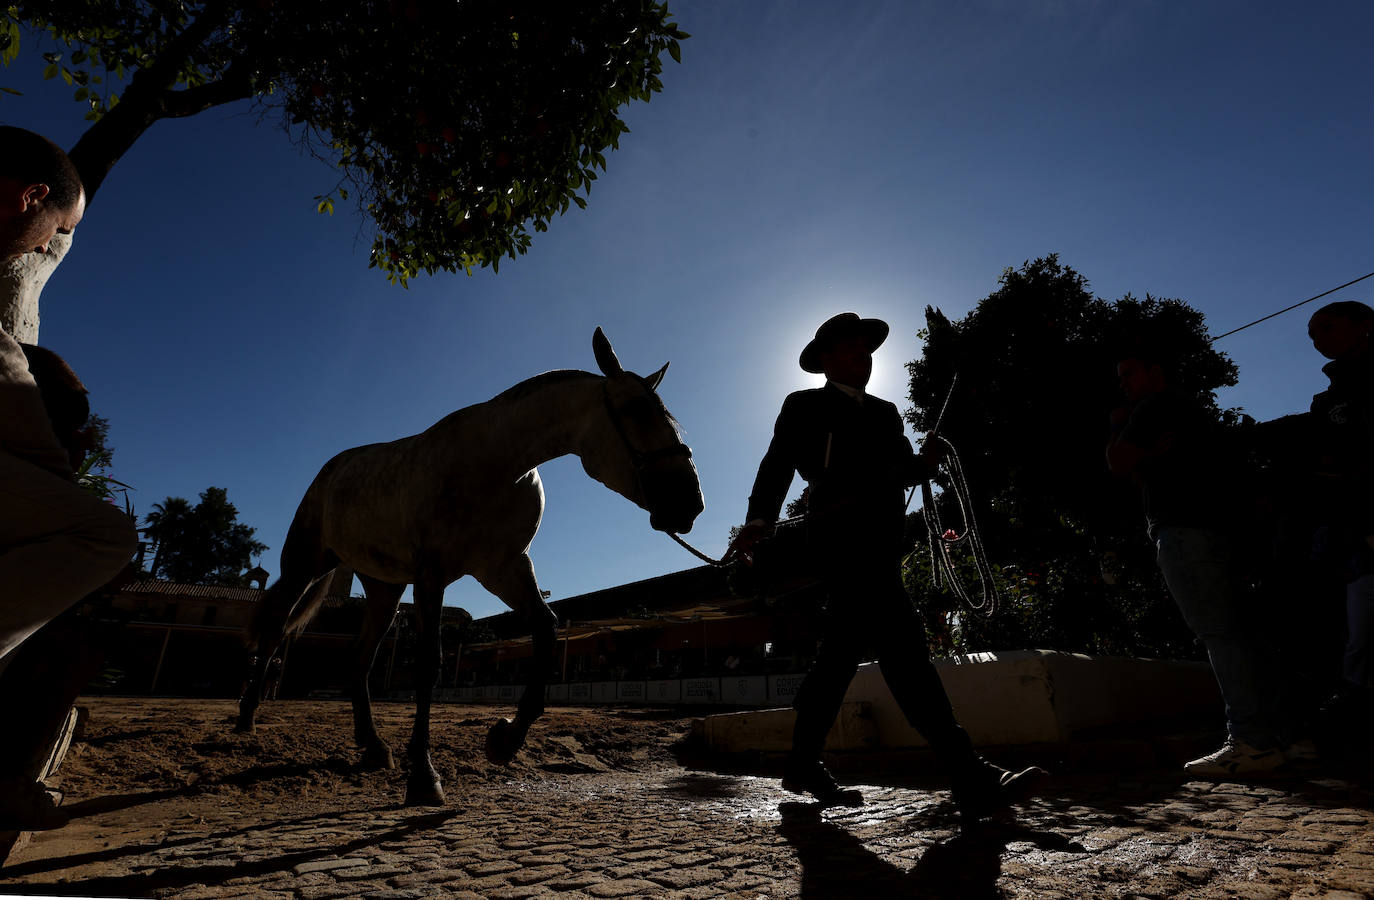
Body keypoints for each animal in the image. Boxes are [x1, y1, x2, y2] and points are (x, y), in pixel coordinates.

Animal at [233, 327, 697, 807]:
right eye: (636, 408)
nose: (690, 502)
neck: (498, 462)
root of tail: (333, 469)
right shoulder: (431, 575)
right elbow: (428, 664)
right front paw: (424, 775)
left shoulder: (504, 569)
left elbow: (546, 630)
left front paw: (505, 739)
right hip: (303, 566)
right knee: (275, 631)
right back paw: (247, 718)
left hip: (383, 588)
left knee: (360, 658)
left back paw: (374, 747)